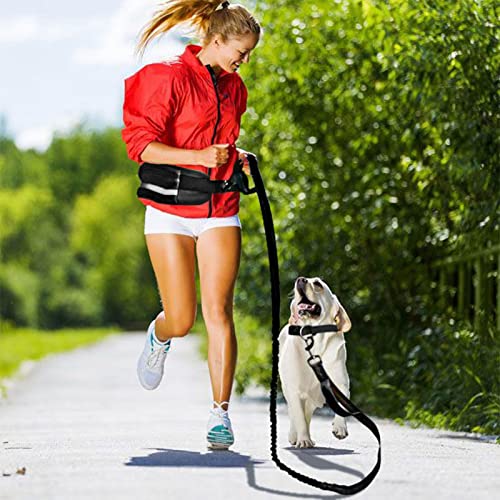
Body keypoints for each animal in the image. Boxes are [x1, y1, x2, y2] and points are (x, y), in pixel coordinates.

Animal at [278, 278, 352, 450]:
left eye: (317, 283)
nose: (300, 279)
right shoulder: (295, 390)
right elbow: (298, 417)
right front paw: (303, 439)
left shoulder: (341, 383)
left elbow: (343, 404)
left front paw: (340, 427)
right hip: (288, 389)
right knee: (295, 414)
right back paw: (296, 436)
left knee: (307, 414)